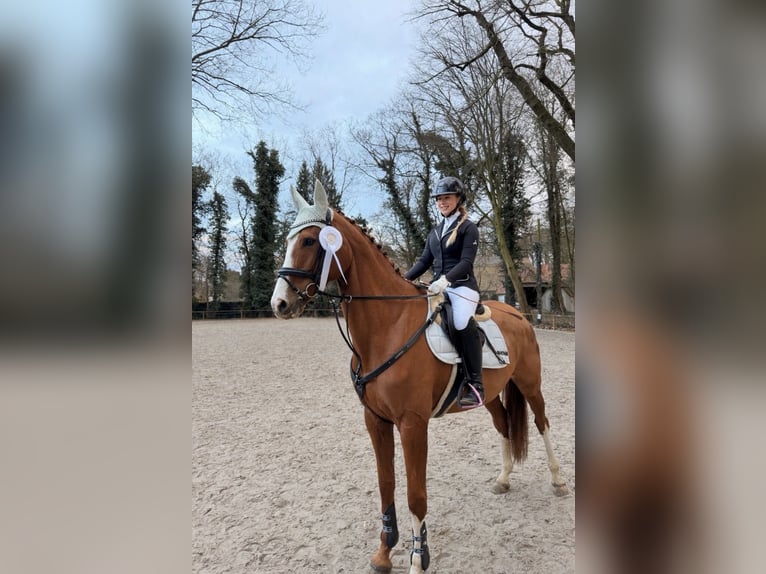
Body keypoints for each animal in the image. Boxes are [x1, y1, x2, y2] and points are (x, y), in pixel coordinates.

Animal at [270, 180, 569, 573]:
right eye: (289, 239)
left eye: (307, 241)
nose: (279, 304)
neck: (387, 327)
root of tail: (519, 313)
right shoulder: (375, 420)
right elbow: (386, 484)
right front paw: (384, 552)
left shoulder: (413, 424)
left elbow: (416, 495)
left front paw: (417, 558)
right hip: (490, 394)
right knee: (504, 423)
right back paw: (503, 480)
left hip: (530, 384)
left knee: (542, 422)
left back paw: (559, 481)